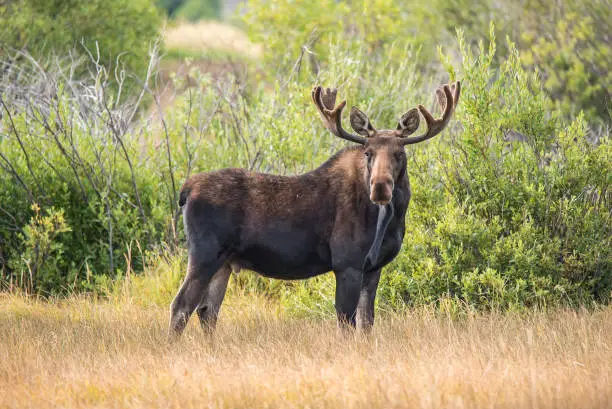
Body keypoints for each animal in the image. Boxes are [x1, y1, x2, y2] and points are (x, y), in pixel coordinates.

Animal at [169, 80, 460, 334]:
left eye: (400, 153)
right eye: (368, 152)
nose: (380, 188)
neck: (391, 220)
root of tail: (186, 191)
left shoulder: (373, 268)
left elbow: (366, 323)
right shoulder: (346, 264)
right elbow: (346, 323)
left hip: (224, 263)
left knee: (207, 310)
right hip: (204, 255)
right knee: (181, 306)